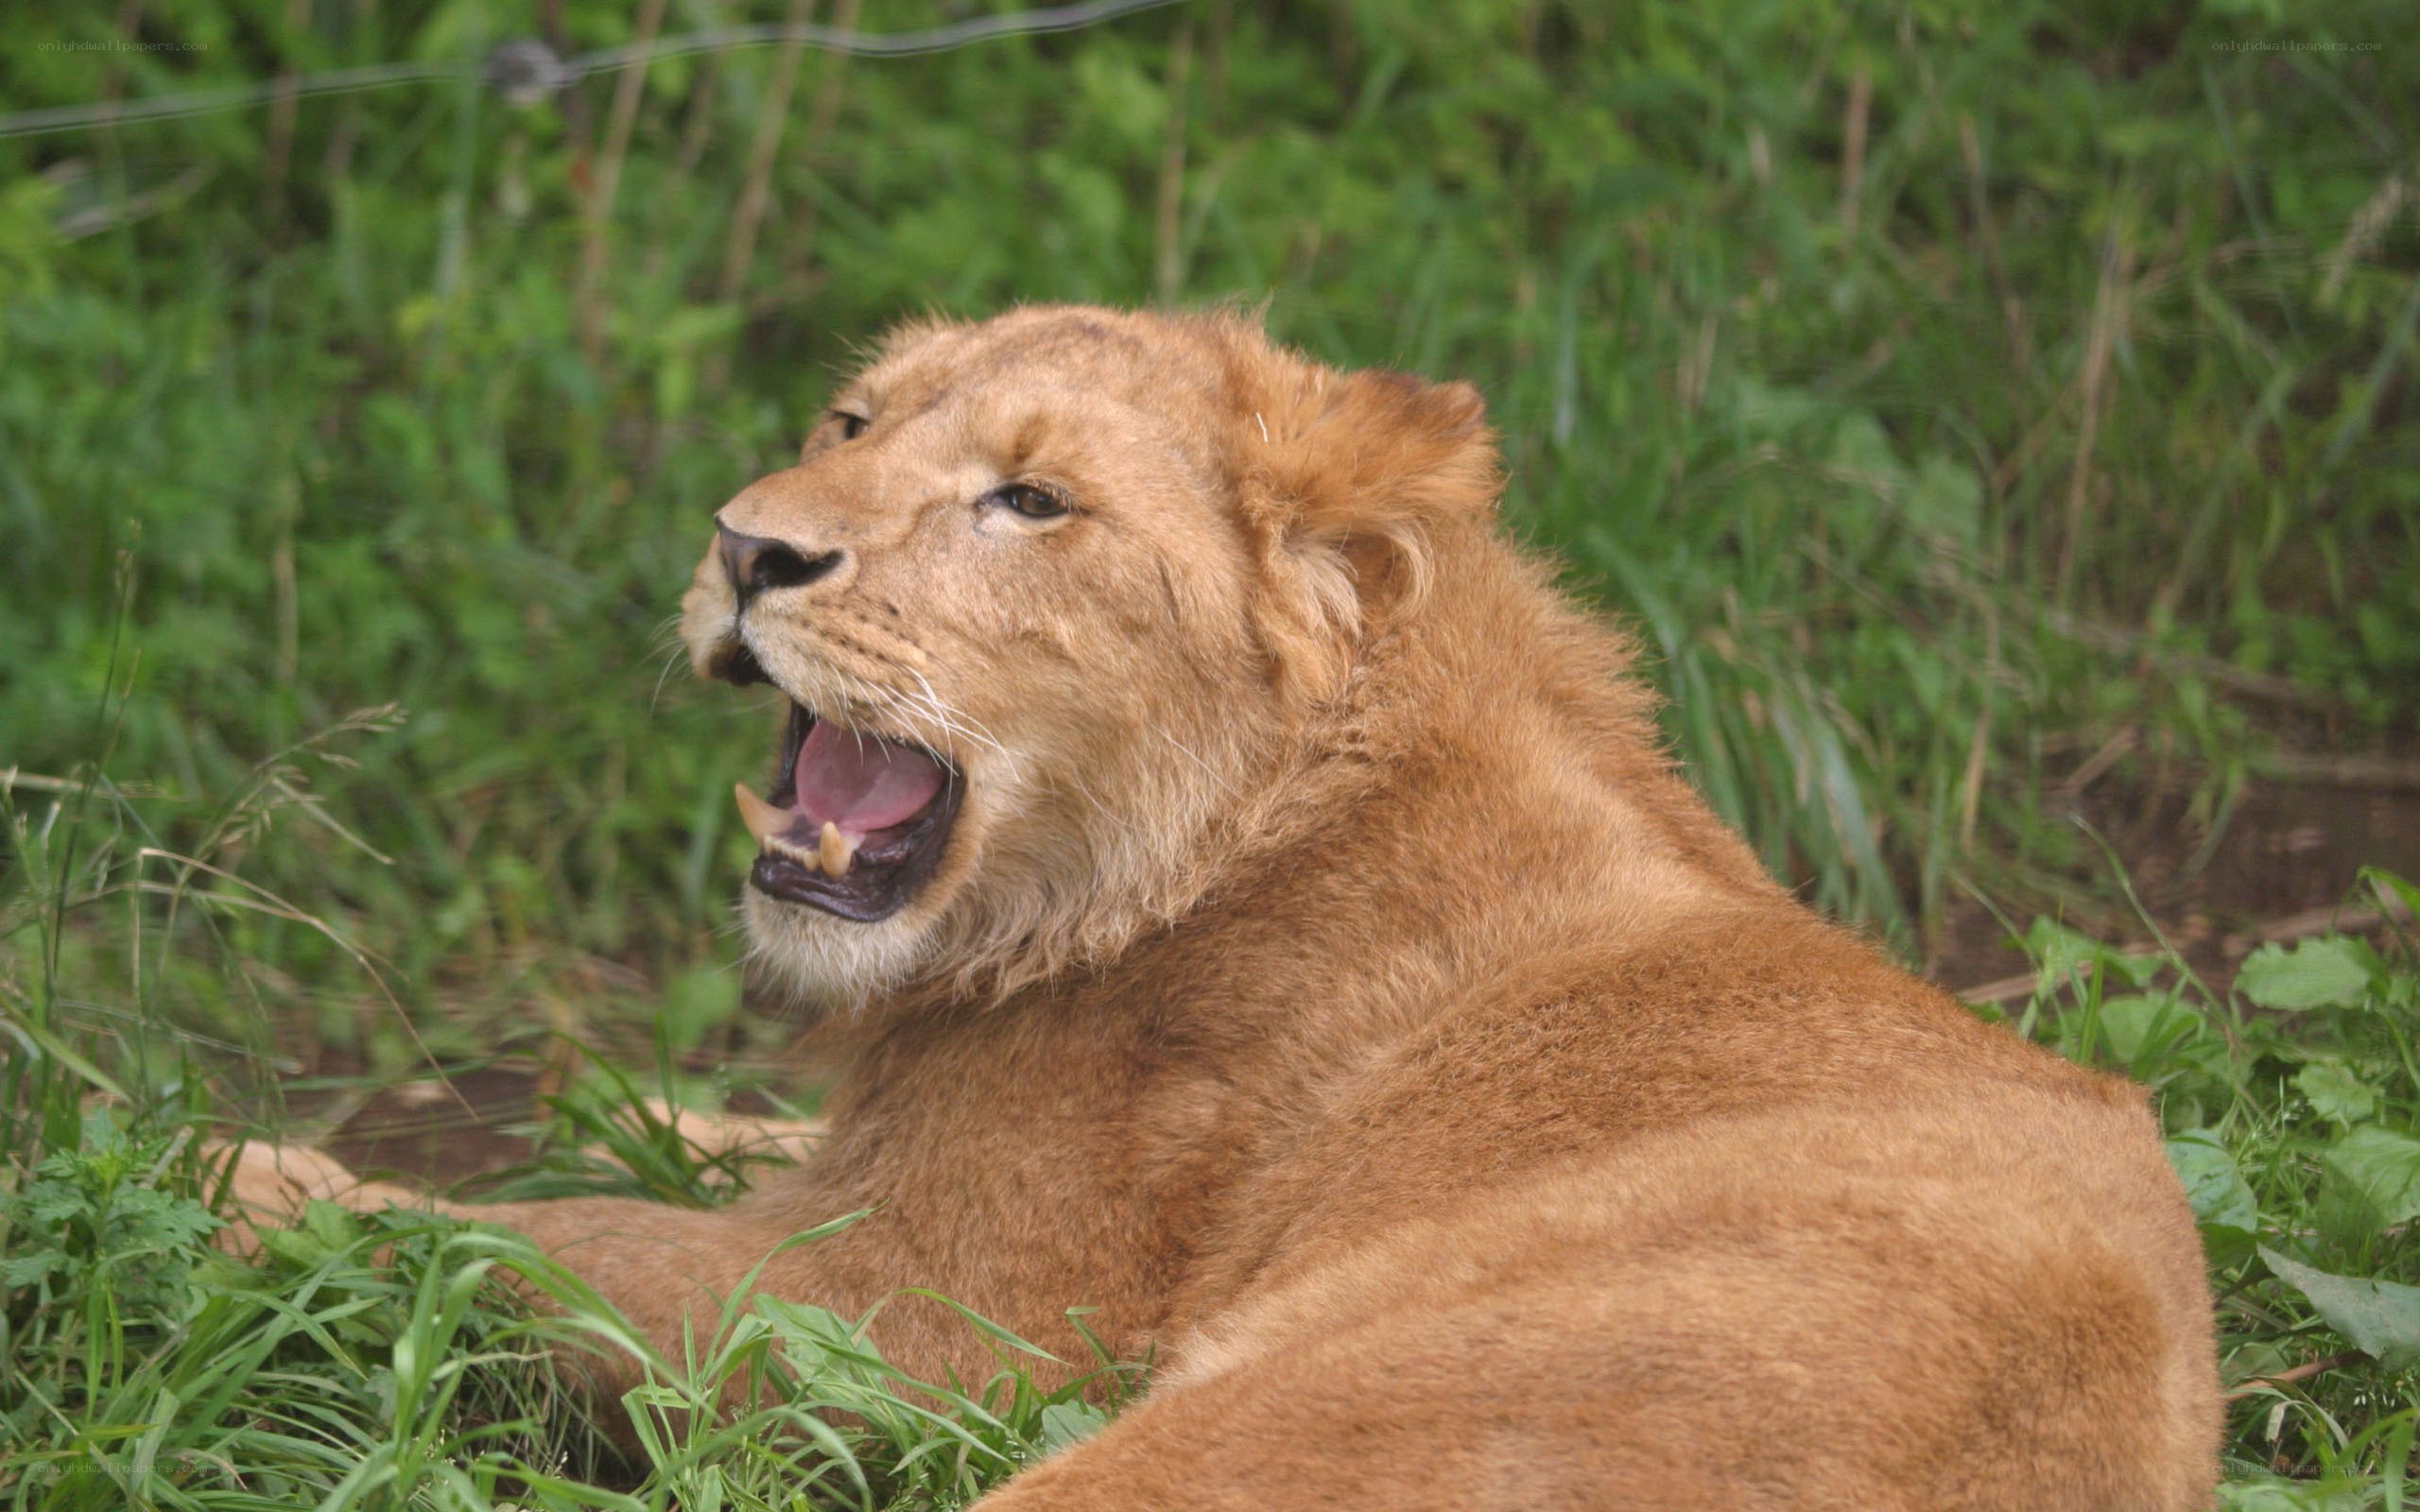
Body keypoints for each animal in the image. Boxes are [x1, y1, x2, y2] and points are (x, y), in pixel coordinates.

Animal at [237, 305, 2222, 1509]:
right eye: (851, 420)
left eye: (1029, 500)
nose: (745, 547)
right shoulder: (865, 1175)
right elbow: (676, 1148)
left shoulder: (914, 1323)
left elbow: (530, 1243)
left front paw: (244, 1186)